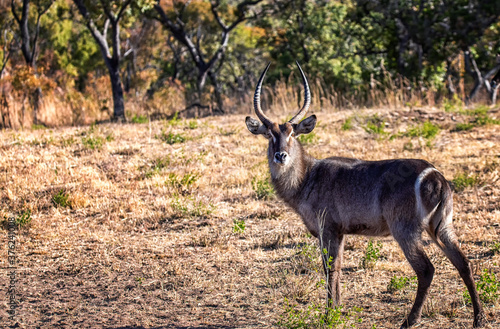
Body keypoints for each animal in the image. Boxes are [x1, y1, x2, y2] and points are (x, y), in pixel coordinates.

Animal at [244, 61, 486, 326]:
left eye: (292, 133)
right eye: (270, 134)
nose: (281, 156)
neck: (307, 177)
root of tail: (435, 175)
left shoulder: (327, 228)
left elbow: (329, 268)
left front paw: (328, 314)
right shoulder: (339, 232)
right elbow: (338, 267)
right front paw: (337, 308)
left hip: (405, 229)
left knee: (426, 269)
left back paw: (410, 320)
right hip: (442, 226)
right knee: (463, 262)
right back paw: (478, 318)